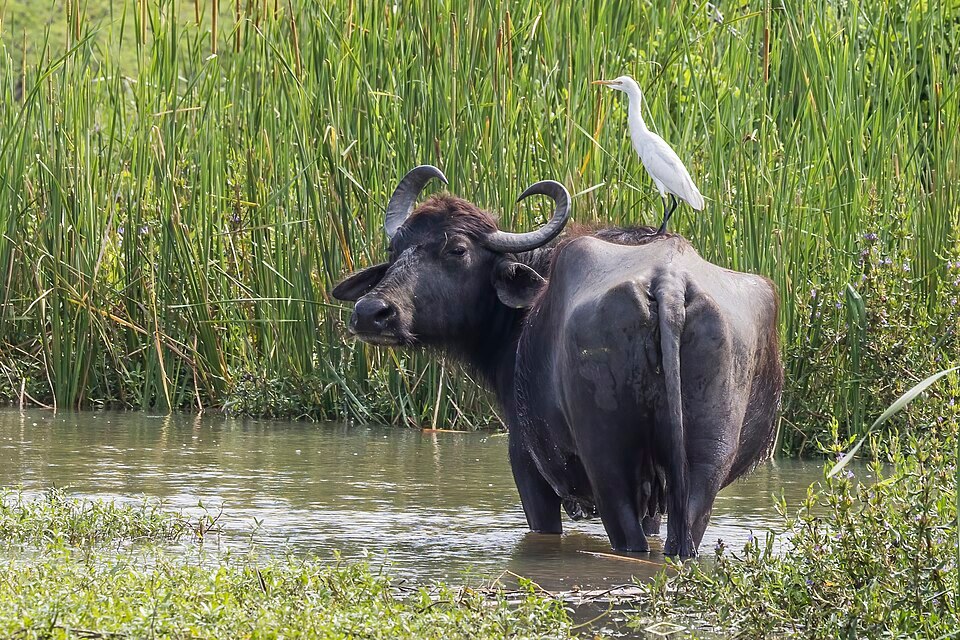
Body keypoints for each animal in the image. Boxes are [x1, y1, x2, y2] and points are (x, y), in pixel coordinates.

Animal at [332, 165, 783, 557]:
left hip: (608, 463)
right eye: (395, 248)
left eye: (457, 250)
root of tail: (669, 285)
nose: (372, 312)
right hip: (704, 465)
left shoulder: (526, 463)